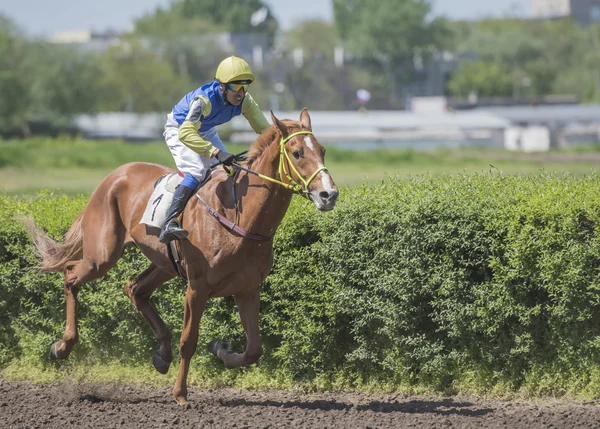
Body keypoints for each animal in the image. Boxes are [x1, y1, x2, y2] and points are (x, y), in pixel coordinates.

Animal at [22, 108, 338, 402]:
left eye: (322, 150)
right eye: (297, 153)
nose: (329, 195)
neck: (242, 219)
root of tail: (114, 175)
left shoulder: (247, 288)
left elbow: (254, 350)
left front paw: (220, 350)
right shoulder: (197, 288)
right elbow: (189, 341)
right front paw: (180, 393)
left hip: (164, 262)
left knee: (134, 288)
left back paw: (162, 353)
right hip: (101, 255)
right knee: (71, 274)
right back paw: (62, 346)